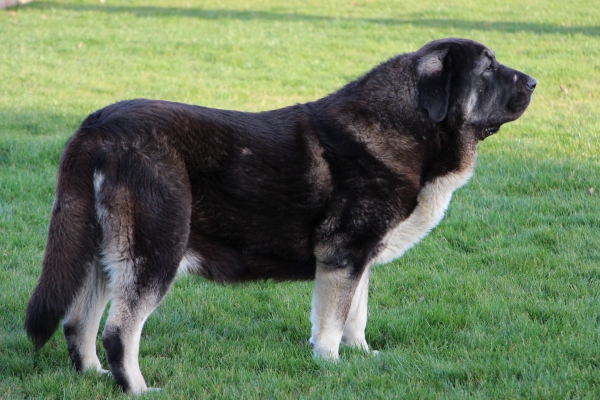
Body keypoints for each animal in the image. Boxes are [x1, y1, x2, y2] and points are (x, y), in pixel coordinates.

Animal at [25, 38, 536, 394]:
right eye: (488, 69)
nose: (533, 82)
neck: (406, 125)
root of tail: (96, 128)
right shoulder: (342, 255)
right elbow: (331, 321)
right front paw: (330, 365)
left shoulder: (357, 258)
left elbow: (356, 314)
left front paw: (360, 356)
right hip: (156, 252)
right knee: (118, 332)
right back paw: (137, 388)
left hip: (102, 253)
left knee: (78, 323)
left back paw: (92, 376)